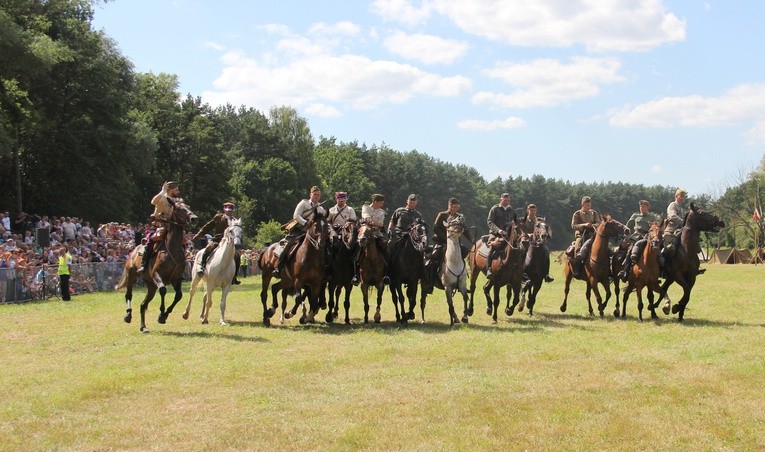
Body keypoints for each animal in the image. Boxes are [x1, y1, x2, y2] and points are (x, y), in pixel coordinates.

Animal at [115, 201, 197, 332]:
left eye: (188, 207)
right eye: (179, 209)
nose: (194, 218)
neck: (172, 249)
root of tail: (133, 252)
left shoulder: (176, 279)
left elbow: (179, 295)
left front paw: (165, 315)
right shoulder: (157, 275)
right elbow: (163, 290)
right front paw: (161, 314)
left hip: (151, 285)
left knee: (143, 305)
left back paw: (143, 327)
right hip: (132, 276)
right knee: (129, 295)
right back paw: (128, 315)